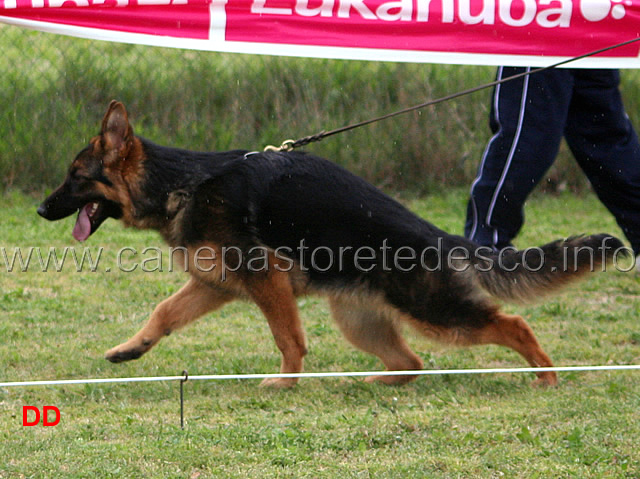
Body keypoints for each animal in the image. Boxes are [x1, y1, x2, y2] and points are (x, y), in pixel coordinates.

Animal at [37, 102, 624, 390]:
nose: (40, 210)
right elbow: (162, 312)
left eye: (74, 177)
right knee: (412, 361)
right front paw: (130, 349)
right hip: (359, 321)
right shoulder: (215, 285)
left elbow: (288, 337)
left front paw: (286, 384)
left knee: (512, 324)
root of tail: (443, 237)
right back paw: (375, 383)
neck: (180, 182)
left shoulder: (265, 282)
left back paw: (546, 375)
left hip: (436, 312)